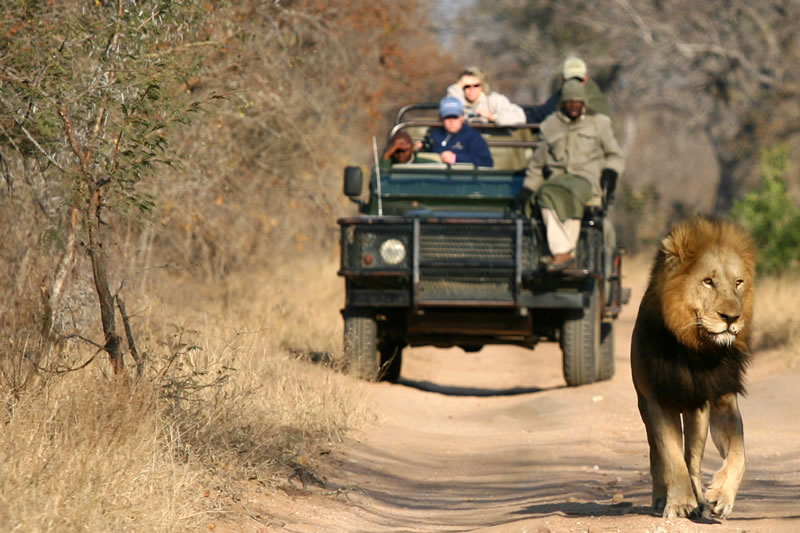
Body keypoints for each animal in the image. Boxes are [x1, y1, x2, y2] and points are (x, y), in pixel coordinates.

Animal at [631, 216, 756, 519]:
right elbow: (670, 456)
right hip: (644, 407)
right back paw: (662, 499)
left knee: (693, 459)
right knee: (657, 454)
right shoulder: (657, 400)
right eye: (708, 281)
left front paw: (721, 497)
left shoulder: (721, 399)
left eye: (738, 283)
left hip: (697, 413)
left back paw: (699, 501)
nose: (731, 318)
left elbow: (739, 453)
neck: (697, 351)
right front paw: (678, 504)